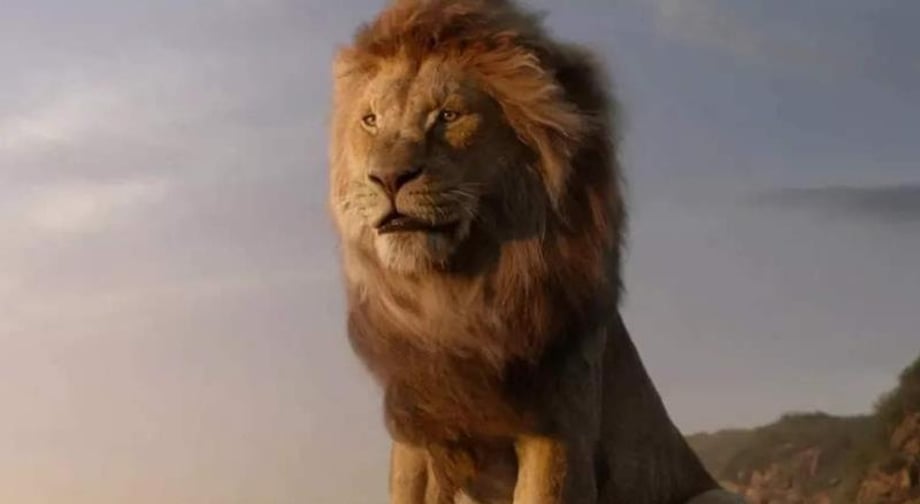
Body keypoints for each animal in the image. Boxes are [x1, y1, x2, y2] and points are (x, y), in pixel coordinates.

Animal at [326, 1, 744, 503]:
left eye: (448, 115)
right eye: (370, 121)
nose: (388, 178)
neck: (453, 296)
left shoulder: (556, 432)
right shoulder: (416, 432)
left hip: (716, 492)